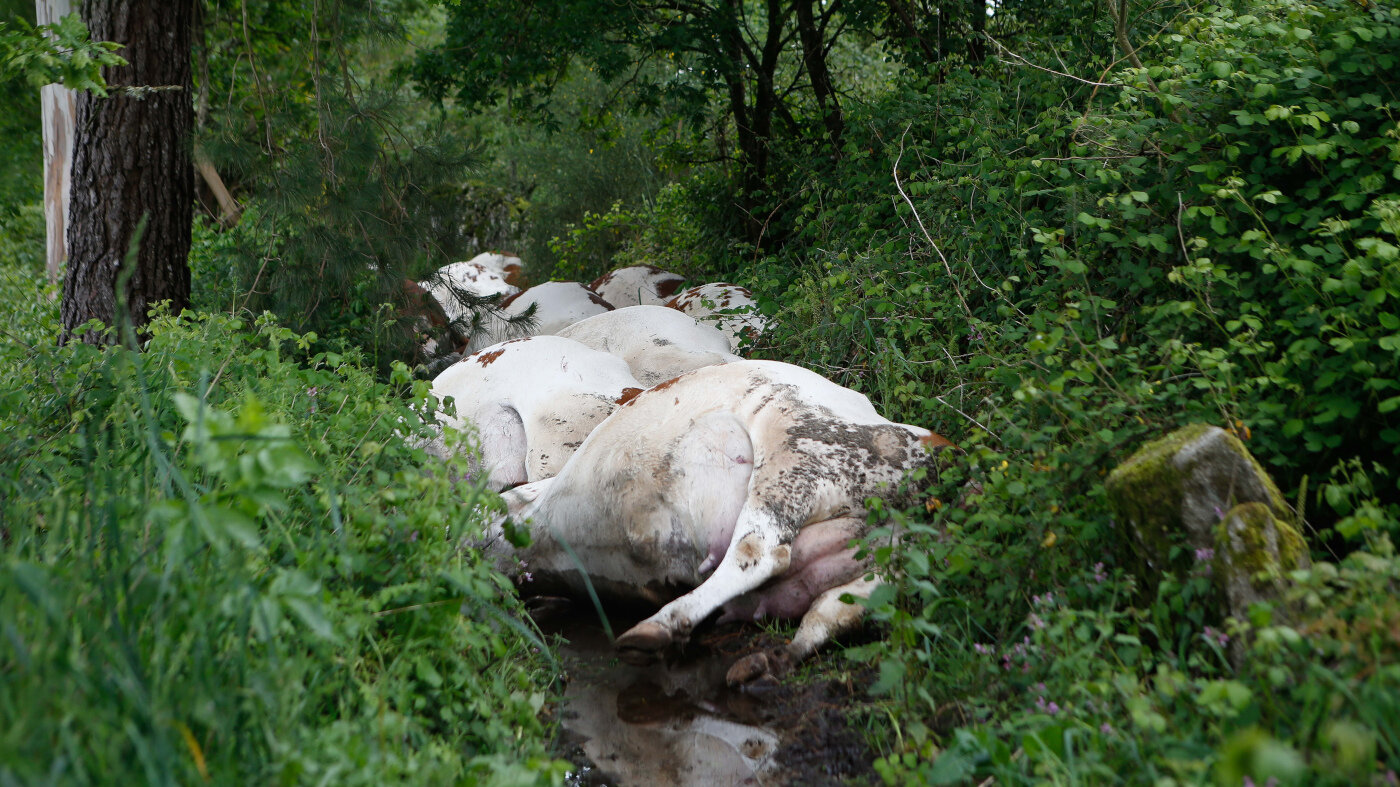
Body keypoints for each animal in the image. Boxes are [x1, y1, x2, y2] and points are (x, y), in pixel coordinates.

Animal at [484, 360, 957, 689]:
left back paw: (658, 628)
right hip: (890, 555)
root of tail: (944, 450)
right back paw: (766, 661)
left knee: (760, 552)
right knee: (835, 611)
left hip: (794, 445)